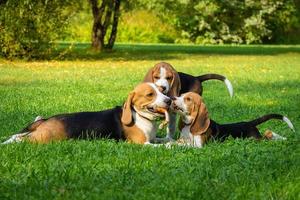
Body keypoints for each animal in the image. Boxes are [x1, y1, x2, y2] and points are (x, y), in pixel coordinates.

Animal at [2, 83, 171, 145]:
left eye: (162, 90)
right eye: (150, 94)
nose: (169, 101)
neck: (141, 117)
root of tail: (47, 119)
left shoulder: (153, 139)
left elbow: (164, 140)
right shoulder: (143, 144)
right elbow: (164, 146)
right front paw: (171, 146)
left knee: (17, 136)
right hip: (43, 138)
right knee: (21, 139)